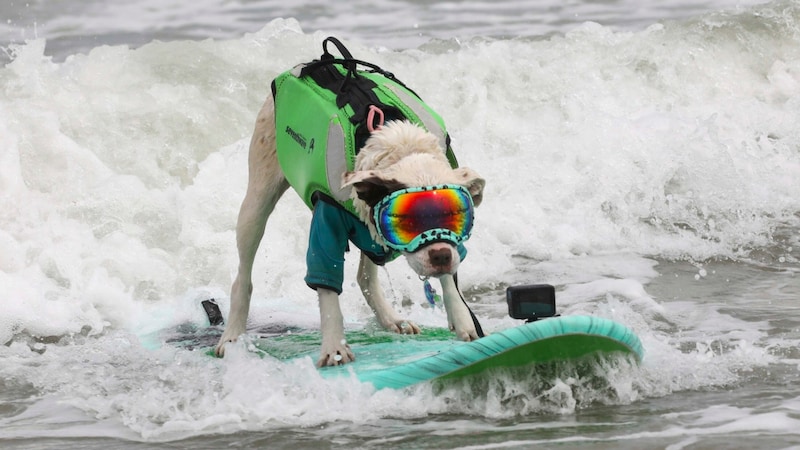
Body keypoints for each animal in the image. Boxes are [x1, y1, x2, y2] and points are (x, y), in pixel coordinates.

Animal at [216, 45, 484, 366]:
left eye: (456, 216)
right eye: (407, 220)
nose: (441, 255)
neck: (399, 146)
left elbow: (450, 279)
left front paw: (462, 318)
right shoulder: (327, 223)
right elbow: (327, 285)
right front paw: (334, 345)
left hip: (366, 227)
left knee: (365, 275)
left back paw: (392, 319)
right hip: (256, 201)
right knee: (243, 275)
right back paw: (232, 336)